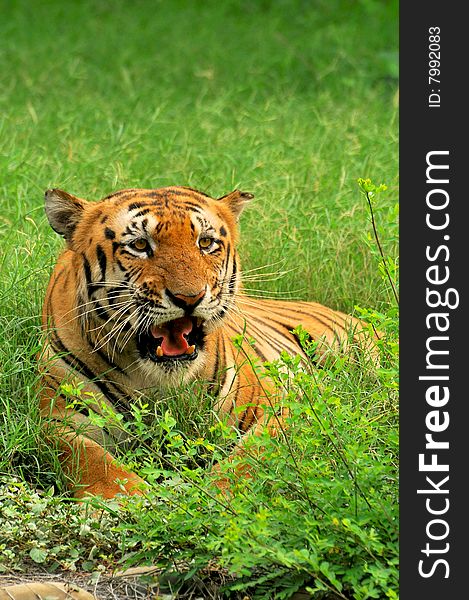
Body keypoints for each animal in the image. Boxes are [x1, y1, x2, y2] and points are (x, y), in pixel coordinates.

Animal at [40, 185, 376, 500]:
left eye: (205, 243)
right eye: (139, 245)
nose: (189, 298)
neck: (153, 381)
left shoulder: (280, 406)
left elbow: (251, 455)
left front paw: (219, 493)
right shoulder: (55, 418)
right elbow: (87, 457)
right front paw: (127, 496)